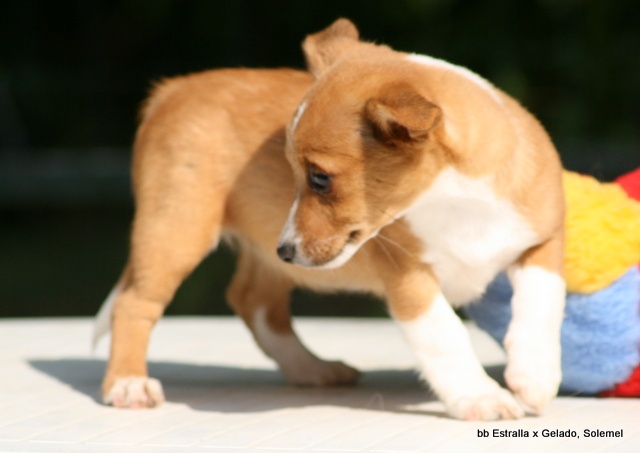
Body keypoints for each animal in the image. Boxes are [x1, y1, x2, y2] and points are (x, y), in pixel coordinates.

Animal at [94, 19, 566, 421]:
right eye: (294, 172)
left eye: (319, 178)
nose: (285, 249)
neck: (457, 201)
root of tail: (171, 89)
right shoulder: (408, 277)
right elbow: (444, 334)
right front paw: (481, 396)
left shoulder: (544, 242)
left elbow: (541, 304)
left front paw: (534, 377)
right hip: (175, 230)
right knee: (134, 303)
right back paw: (128, 384)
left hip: (249, 253)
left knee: (253, 302)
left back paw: (312, 370)